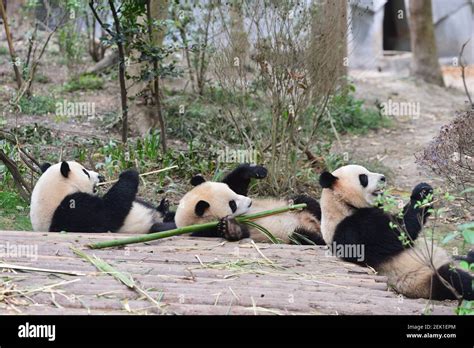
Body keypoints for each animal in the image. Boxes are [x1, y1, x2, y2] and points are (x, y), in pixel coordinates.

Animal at [30, 161, 174, 234]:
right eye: (85, 172)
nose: (100, 176)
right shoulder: (70, 209)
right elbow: (108, 213)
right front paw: (130, 173)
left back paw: (164, 207)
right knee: (156, 227)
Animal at [175, 164, 326, 243]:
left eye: (231, 192)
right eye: (232, 205)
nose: (250, 202)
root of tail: (314, 224)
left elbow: (237, 182)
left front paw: (255, 171)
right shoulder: (202, 231)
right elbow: (238, 233)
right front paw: (231, 228)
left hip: (297, 208)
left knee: (307, 202)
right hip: (291, 234)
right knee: (304, 237)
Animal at [318, 164, 474, 300]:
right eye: (363, 177)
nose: (383, 178)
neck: (340, 203)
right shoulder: (351, 229)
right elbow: (398, 231)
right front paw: (421, 193)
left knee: (466, 260)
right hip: (422, 278)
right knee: (454, 279)